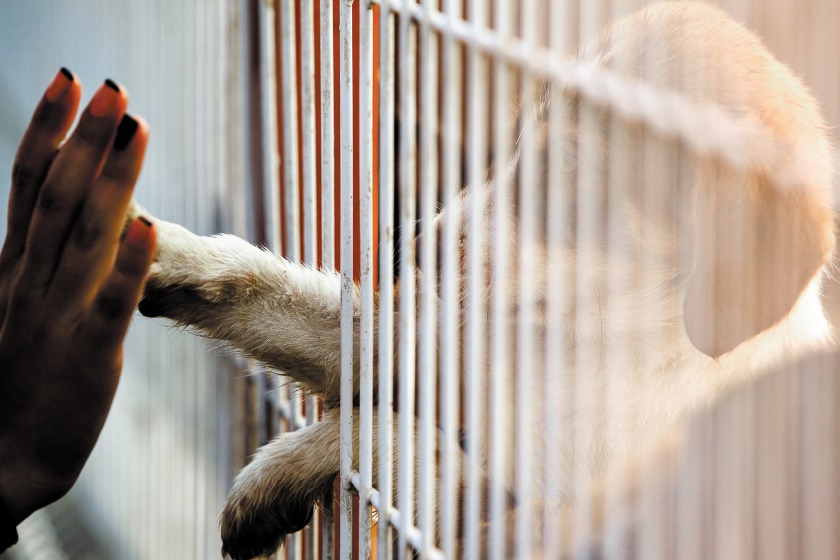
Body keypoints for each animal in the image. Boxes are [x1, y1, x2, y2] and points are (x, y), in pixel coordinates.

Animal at [128, 3, 836, 556]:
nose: (413, 245)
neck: (604, 348)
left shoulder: (526, 522)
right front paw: (158, 252)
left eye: (568, 165)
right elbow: (290, 300)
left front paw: (288, 466)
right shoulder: (447, 344)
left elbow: (397, 436)